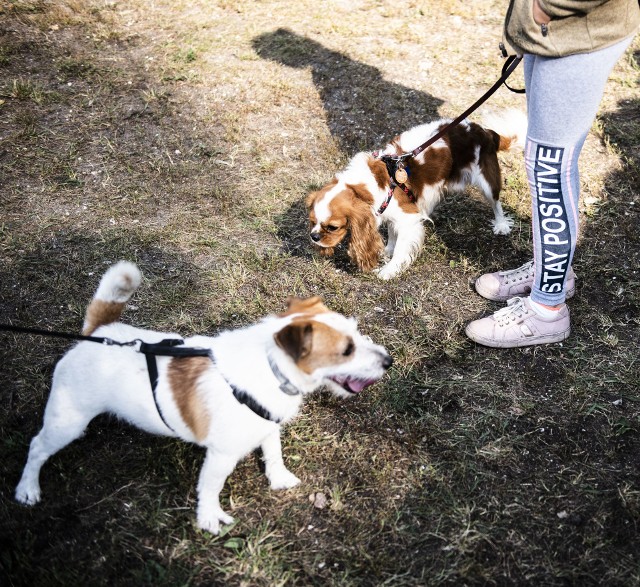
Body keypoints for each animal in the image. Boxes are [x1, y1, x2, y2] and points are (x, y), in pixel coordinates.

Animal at [15, 262, 392, 532]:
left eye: (357, 332)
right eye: (346, 350)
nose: (389, 361)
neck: (270, 365)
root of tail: (100, 331)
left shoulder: (267, 426)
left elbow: (273, 453)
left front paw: (279, 478)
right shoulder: (221, 455)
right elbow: (210, 488)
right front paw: (209, 518)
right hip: (66, 420)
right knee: (36, 447)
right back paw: (27, 488)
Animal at [306, 114, 524, 282]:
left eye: (333, 227)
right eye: (312, 222)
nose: (314, 237)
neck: (365, 185)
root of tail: (484, 130)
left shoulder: (408, 218)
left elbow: (401, 248)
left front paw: (389, 270)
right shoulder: (390, 211)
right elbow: (392, 235)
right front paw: (387, 251)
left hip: (487, 180)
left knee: (496, 202)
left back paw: (501, 225)